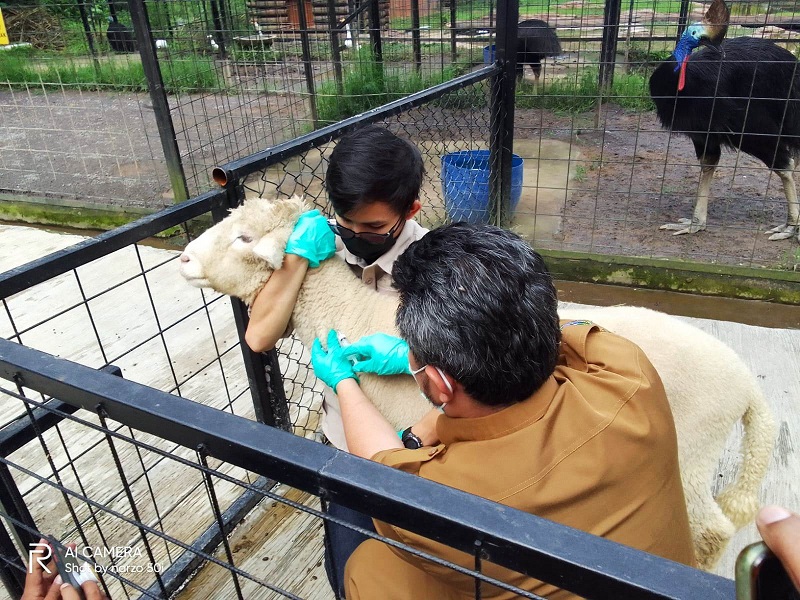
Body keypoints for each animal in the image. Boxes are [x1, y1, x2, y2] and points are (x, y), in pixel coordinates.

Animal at [180, 195, 776, 568]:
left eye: (243, 236)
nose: (183, 258)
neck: (352, 315)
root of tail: (747, 386)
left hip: (692, 449)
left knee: (711, 530)